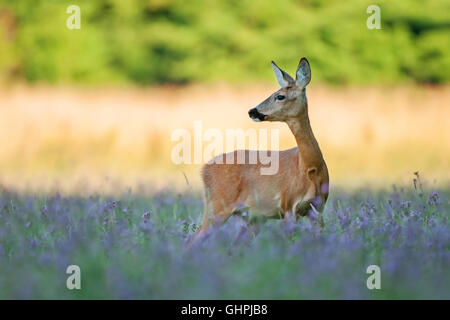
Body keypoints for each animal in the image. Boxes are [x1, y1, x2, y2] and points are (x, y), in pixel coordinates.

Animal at [193, 58, 326, 242]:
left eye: (280, 96)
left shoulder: (319, 207)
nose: (252, 111)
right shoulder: (288, 204)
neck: (310, 167)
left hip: (252, 218)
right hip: (218, 205)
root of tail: (204, 170)